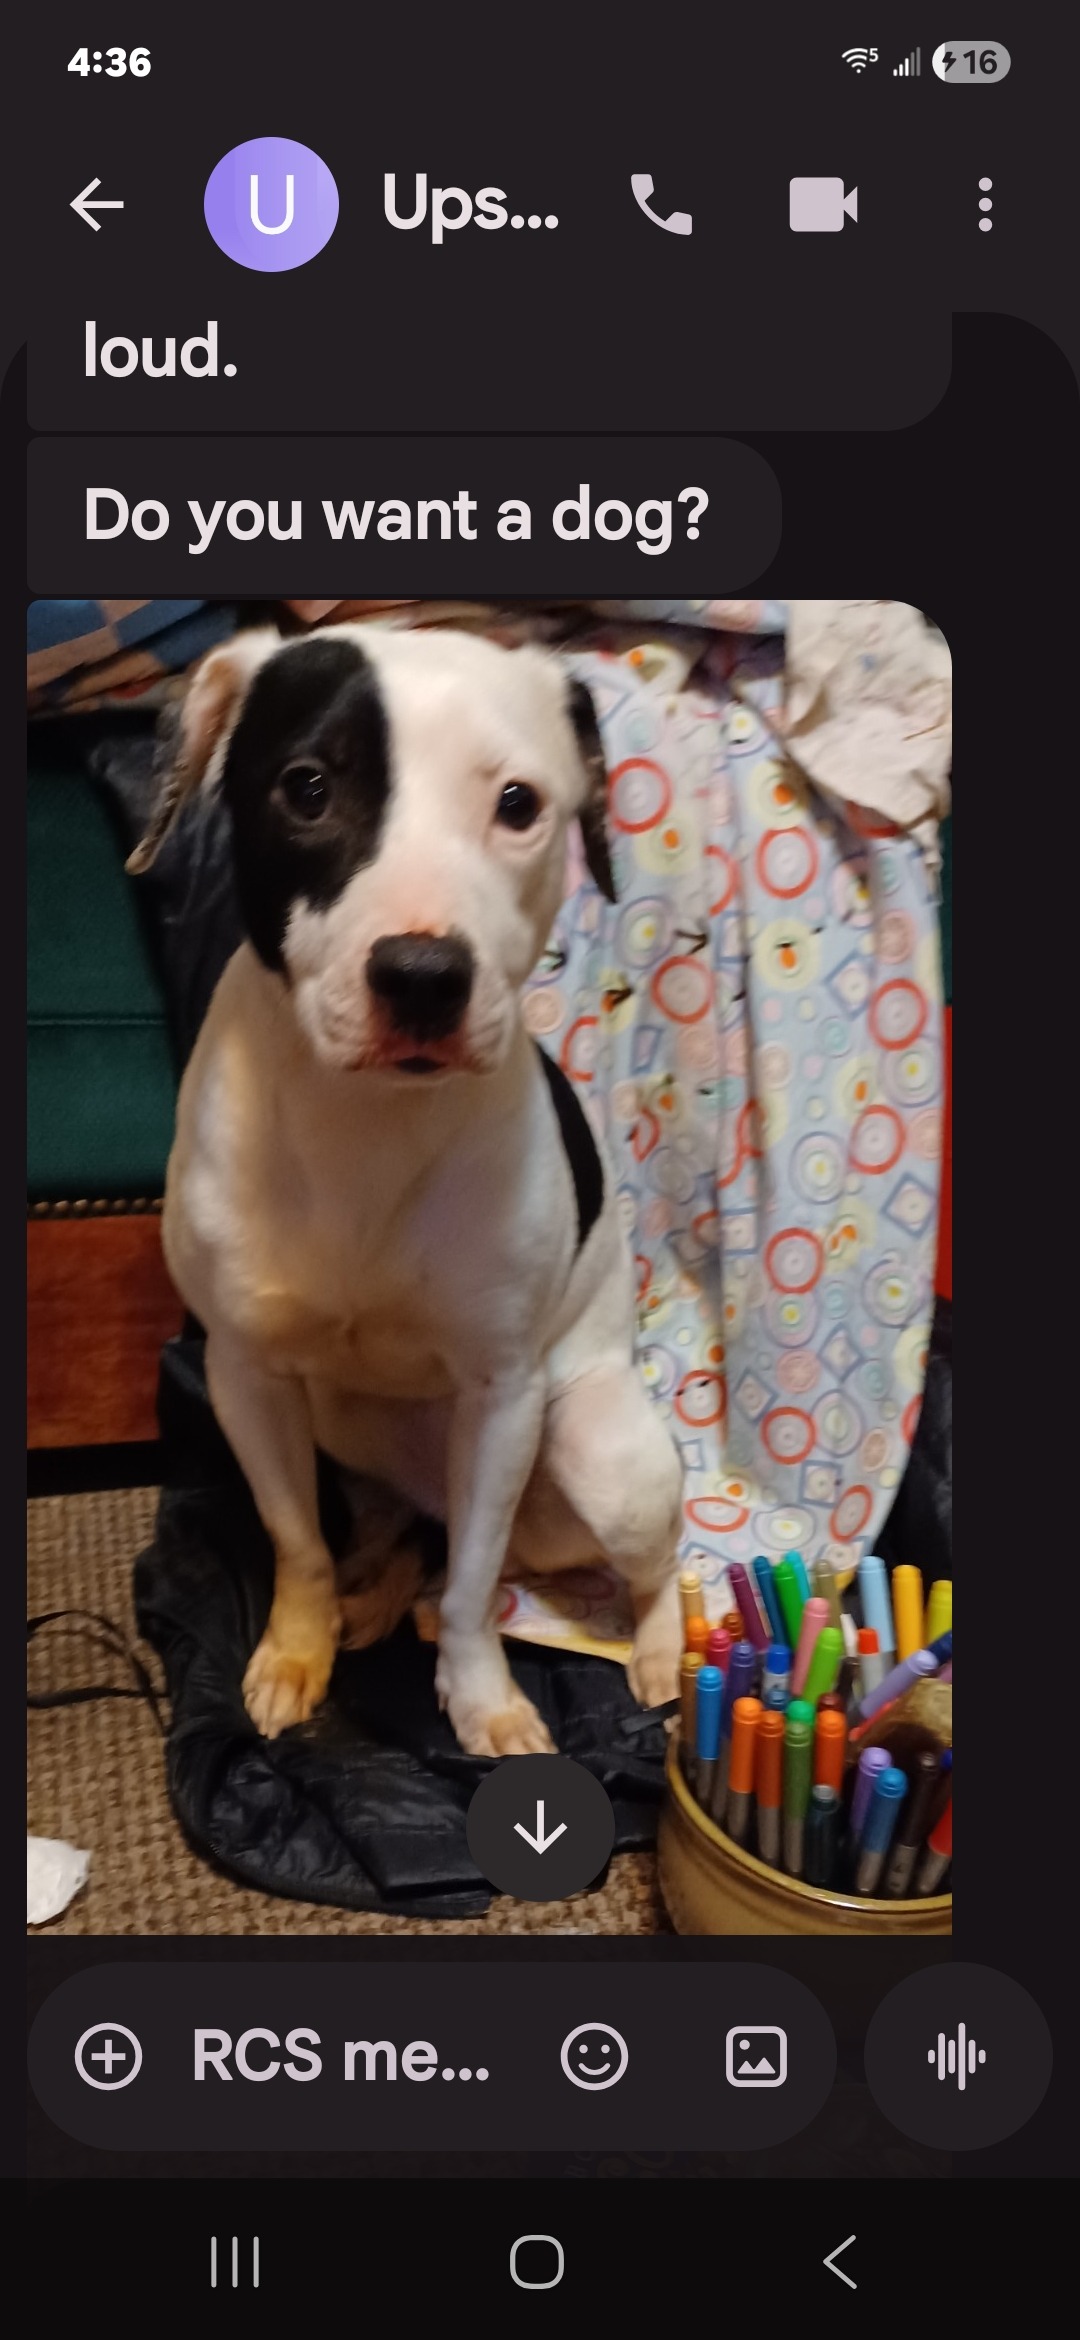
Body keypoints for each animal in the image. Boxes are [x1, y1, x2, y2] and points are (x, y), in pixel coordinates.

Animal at [135, 623, 684, 1756]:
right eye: (307, 786)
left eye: (518, 802)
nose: (424, 976)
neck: (369, 1124)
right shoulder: (246, 1375)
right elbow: (294, 1541)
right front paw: (296, 1650)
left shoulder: (501, 1395)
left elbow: (474, 1597)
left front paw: (482, 1700)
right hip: (343, 1426)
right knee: (402, 1536)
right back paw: (374, 1594)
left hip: (594, 1453)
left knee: (626, 1563)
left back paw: (655, 1650)